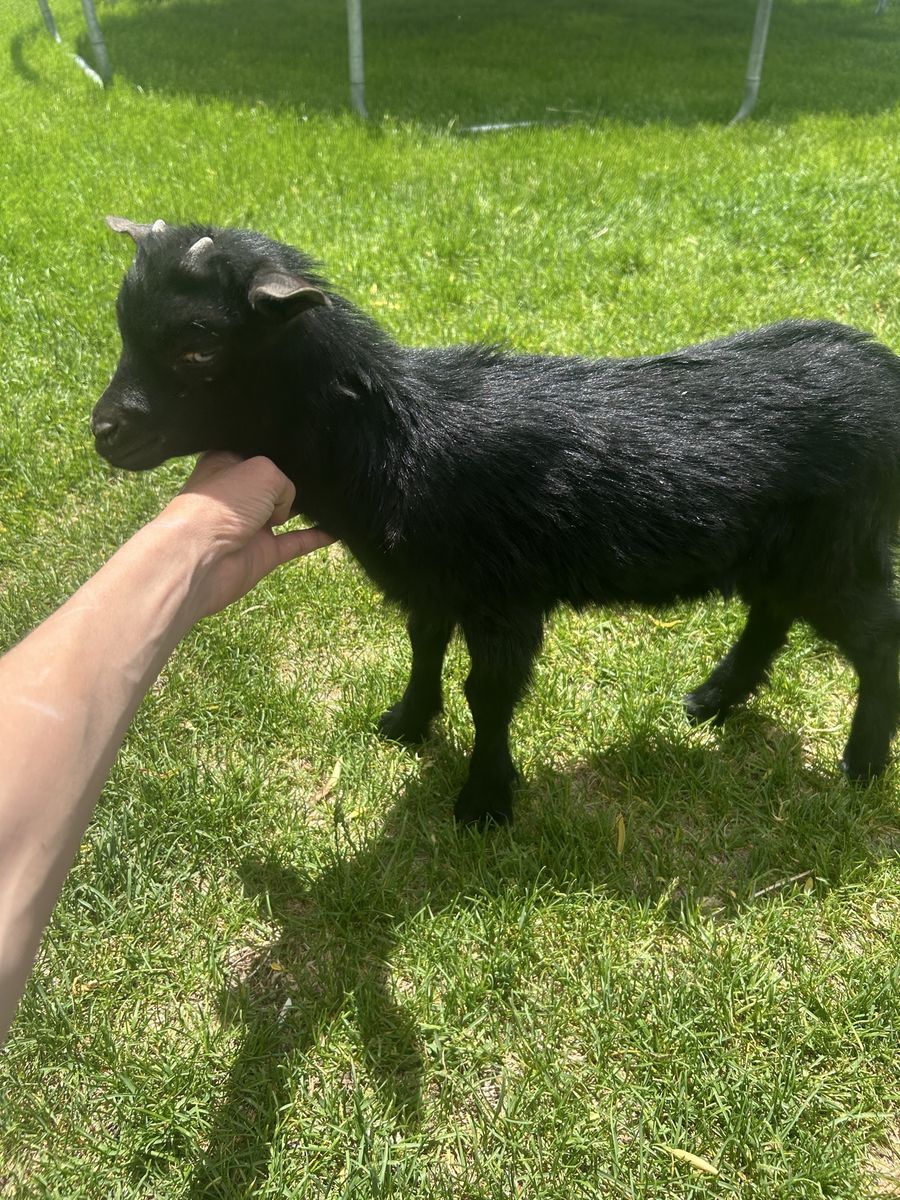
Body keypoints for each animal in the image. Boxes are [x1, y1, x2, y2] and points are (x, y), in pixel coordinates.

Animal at [92, 218, 900, 824]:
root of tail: (877, 367)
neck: (395, 440)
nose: (103, 432)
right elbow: (423, 648)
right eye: (124, 329)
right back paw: (711, 701)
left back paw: (859, 768)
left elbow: (489, 695)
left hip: (841, 548)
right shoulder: (433, 583)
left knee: (876, 641)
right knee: (772, 615)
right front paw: (408, 723)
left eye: (199, 344)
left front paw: (484, 800)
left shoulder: (504, 595)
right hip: (790, 551)